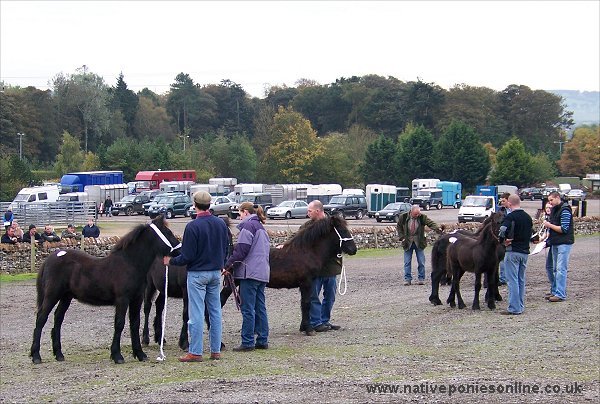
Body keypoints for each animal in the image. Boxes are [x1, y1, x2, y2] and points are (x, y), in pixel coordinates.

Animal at [30, 216, 179, 364]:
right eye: (168, 232)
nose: (180, 250)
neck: (129, 264)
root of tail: (51, 258)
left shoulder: (136, 300)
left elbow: (135, 324)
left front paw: (140, 354)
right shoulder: (122, 300)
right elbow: (119, 324)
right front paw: (117, 355)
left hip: (66, 297)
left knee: (58, 319)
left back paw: (59, 354)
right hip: (52, 295)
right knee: (41, 319)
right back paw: (36, 355)